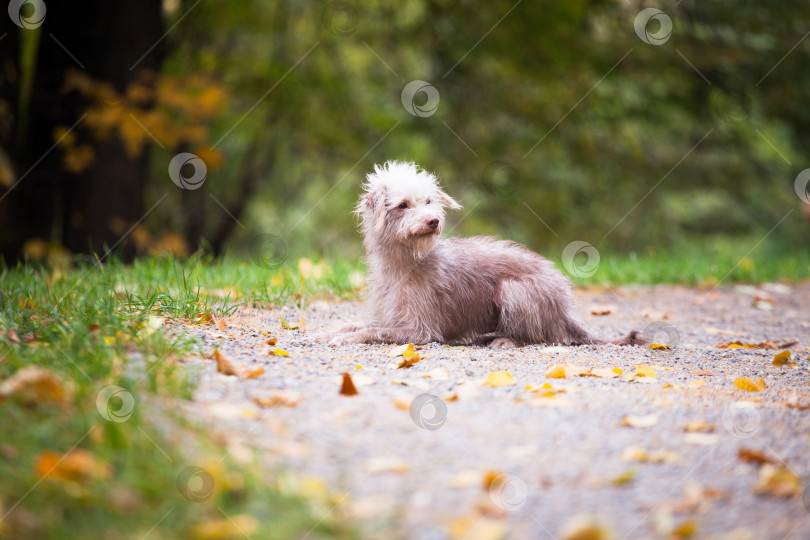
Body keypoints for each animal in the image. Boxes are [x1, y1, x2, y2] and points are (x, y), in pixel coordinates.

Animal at [318, 160, 640, 348]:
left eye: (429, 201)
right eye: (403, 205)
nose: (433, 221)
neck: (404, 265)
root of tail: (563, 311)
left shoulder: (420, 331)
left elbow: (372, 332)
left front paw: (346, 338)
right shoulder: (388, 317)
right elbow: (358, 323)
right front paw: (328, 332)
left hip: (512, 289)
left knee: (537, 336)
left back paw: (504, 341)